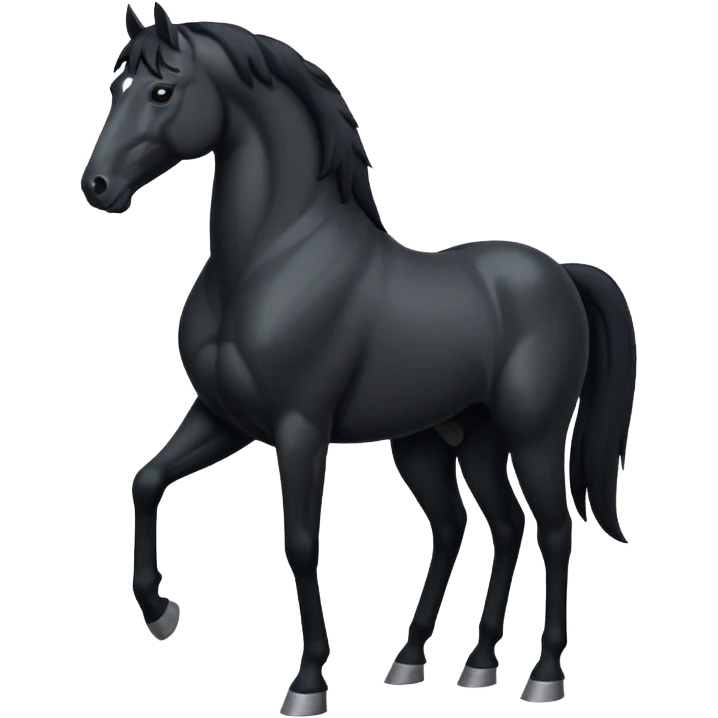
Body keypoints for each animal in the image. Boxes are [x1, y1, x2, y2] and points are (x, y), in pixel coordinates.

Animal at [82, 4, 637, 712]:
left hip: (532, 434)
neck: (270, 259)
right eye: (114, 88)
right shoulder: (223, 417)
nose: (98, 186)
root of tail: (562, 274)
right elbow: (147, 480)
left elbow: (299, 541)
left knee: (554, 530)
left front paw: (308, 681)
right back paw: (447, 662)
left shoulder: (300, 428)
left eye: (161, 91)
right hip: (450, 441)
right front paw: (160, 612)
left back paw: (542, 675)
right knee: (484, 526)